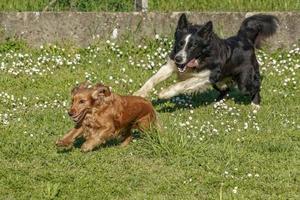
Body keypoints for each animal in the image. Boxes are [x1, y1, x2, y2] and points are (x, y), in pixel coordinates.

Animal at [134, 13, 278, 107]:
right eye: (180, 43)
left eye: (193, 46)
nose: (178, 59)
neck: (201, 57)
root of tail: (244, 38)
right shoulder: (171, 65)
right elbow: (152, 79)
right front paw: (139, 93)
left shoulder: (207, 75)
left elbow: (182, 84)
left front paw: (165, 93)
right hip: (220, 81)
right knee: (226, 88)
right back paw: (217, 103)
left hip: (244, 80)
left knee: (255, 86)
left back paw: (255, 105)